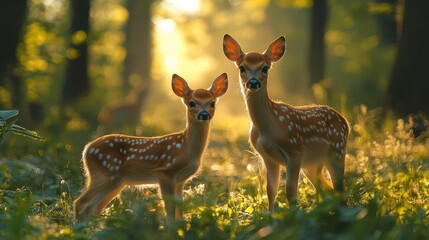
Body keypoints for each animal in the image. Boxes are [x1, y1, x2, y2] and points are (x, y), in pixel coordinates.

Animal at [74, 73, 227, 219]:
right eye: (191, 103)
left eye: (212, 103)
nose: (204, 114)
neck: (185, 148)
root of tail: (86, 149)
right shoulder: (166, 172)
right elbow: (170, 213)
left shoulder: (181, 180)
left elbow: (179, 211)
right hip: (107, 174)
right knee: (80, 203)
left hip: (116, 181)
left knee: (93, 208)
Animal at [222, 34, 350, 211]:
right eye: (242, 67)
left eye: (265, 68)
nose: (253, 83)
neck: (269, 128)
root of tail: (346, 122)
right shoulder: (268, 157)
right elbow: (270, 190)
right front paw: (270, 215)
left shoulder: (294, 152)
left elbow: (290, 191)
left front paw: (294, 216)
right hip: (312, 164)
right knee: (328, 189)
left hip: (337, 151)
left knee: (340, 190)